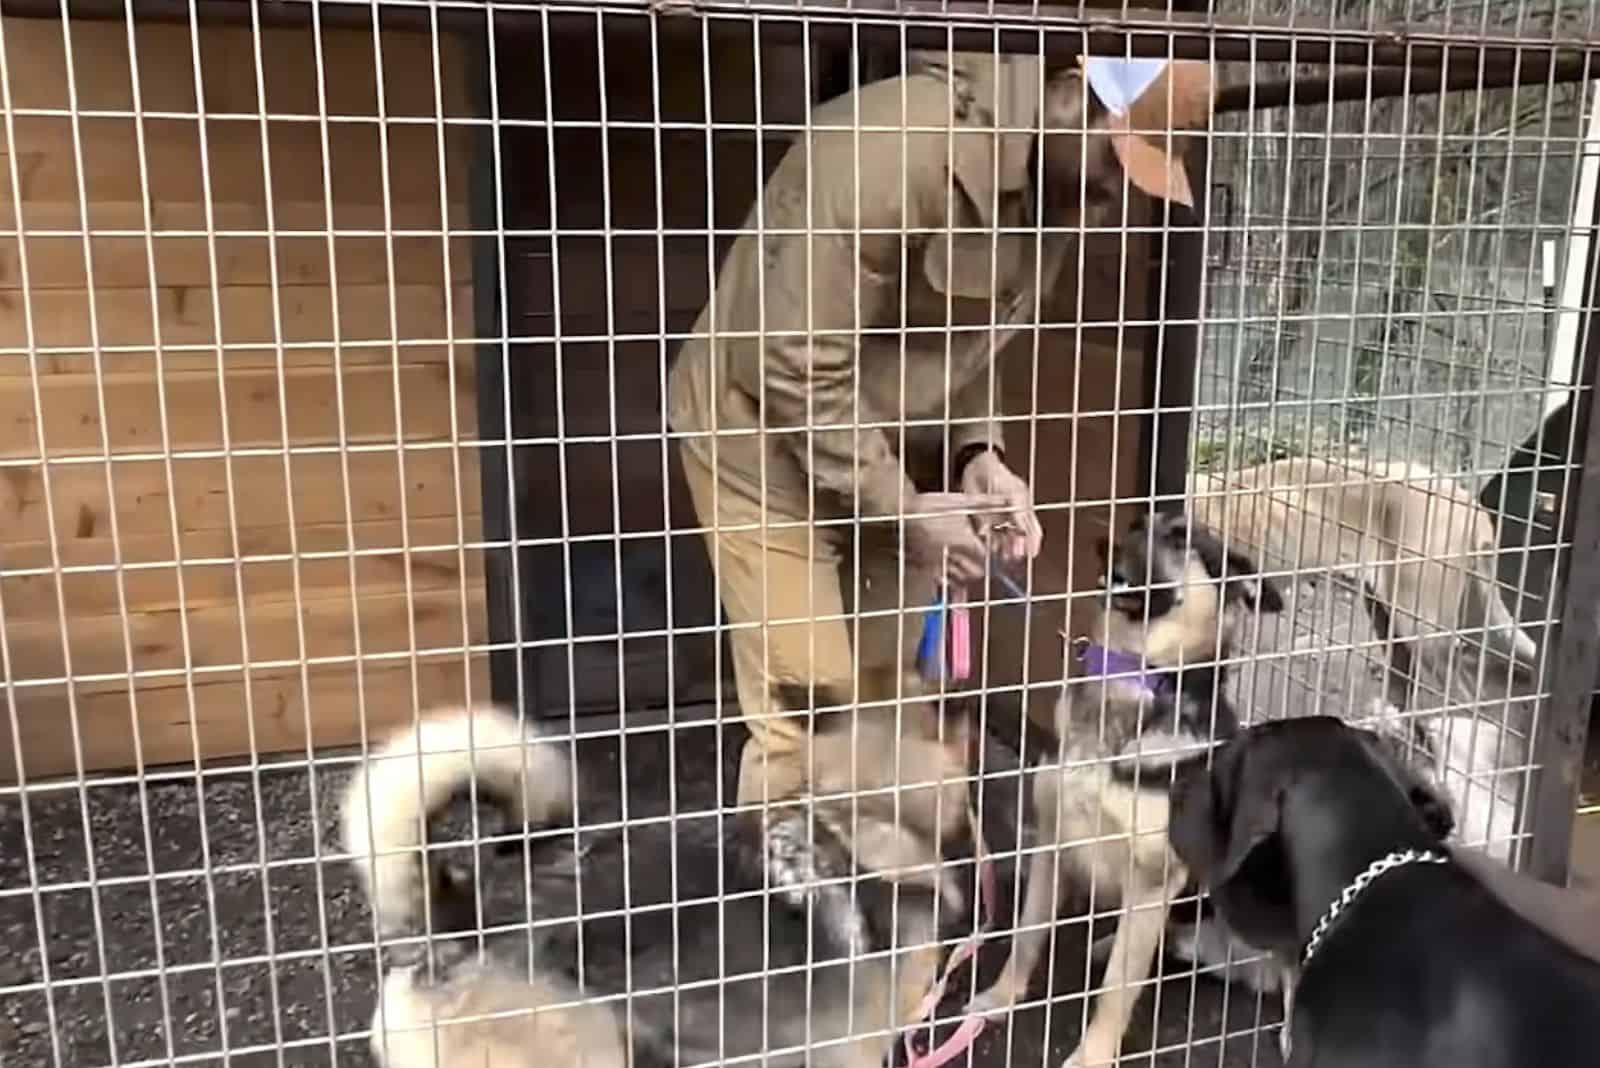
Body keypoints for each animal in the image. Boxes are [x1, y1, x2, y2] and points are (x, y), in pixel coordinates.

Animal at [960, 511, 1286, 1061]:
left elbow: (1117, 988)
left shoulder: (1155, 880)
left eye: (1180, 538)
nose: (1104, 546)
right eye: (1137, 523)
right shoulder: (1053, 844)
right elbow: (1027, 934)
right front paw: (1001, 997)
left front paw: (1092, 1056)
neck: (1133, 676)